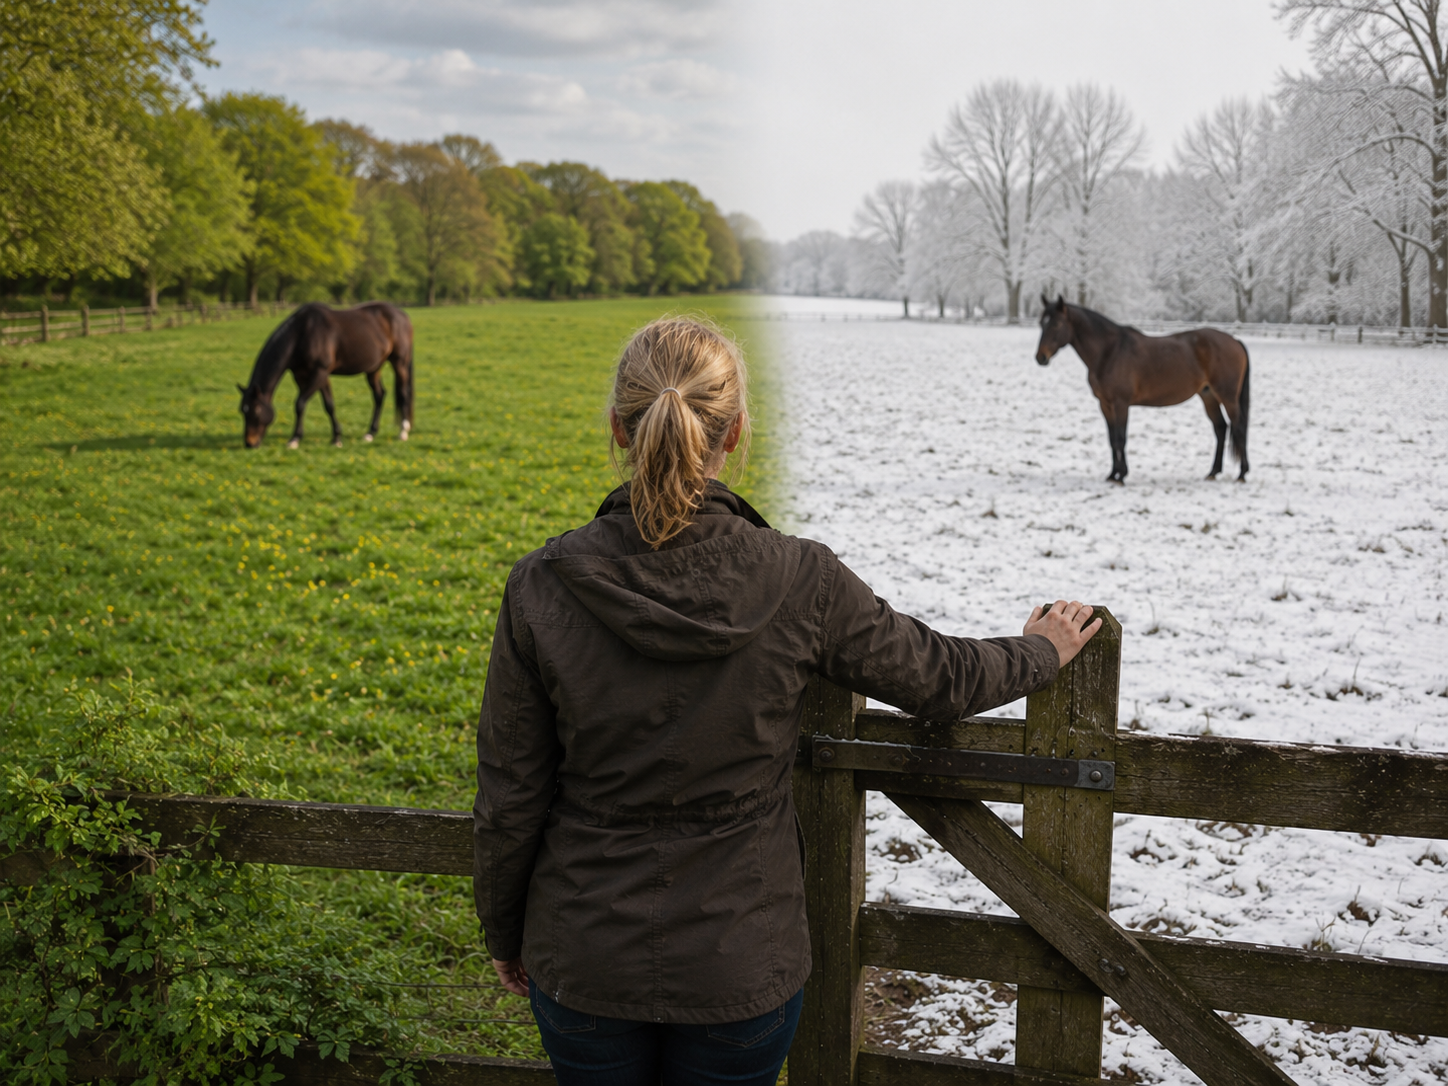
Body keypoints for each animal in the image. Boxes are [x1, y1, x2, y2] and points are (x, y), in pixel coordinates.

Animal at [238, 302, 414, 449]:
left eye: (256, 410)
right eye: (243, 411)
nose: (249, 443)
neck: (302, 333)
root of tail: (402, 315)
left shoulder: (319, 373)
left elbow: (300, 404)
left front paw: (294, 439)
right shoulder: (305, 376)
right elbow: (329, 405)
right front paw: (336, 438)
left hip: (399, 362)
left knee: (403, 393)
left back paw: (403, 432)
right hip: (373, 368)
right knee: (379, 395)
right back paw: (370, 433)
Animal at [1034, 294, 1250, 483]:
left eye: (1056, 324)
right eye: (1041, 323)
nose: (1040, 357)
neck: (1110, 351)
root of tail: (1235, 341)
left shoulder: (1121, 404)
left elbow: (1121, 438)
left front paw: (1121, 476)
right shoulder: (1105, 405)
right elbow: (1112, 439)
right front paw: (1112, 474)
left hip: (1227, 397)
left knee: (1239, 427)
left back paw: (1242, 473)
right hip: (1209, 396)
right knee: (1221, 428)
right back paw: (1213, 472)